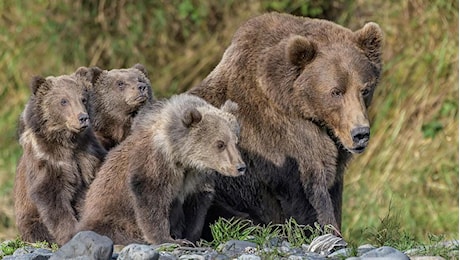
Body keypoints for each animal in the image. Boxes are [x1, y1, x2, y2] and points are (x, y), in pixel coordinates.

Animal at [189, 11, 382, 237]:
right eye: (336, 91)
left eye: (365, 89)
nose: (360, 133)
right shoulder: (281, 141)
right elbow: (309, 194)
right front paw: (328, 231)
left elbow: (334, 190)